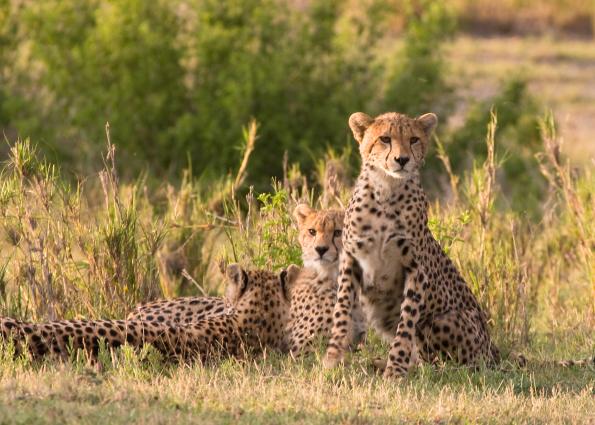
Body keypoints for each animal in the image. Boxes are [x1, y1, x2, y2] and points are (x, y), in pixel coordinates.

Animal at [324, 111, 500, 376]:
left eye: (414, 139)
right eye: (385, 138)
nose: (402, 159)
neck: (386, 190)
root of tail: (492, 346)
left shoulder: (416, 268)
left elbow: (406, 324)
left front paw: (395, 370)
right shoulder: (351, 261)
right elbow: (342, 308)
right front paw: (333, 357)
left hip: (444, 321)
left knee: (444, 364)